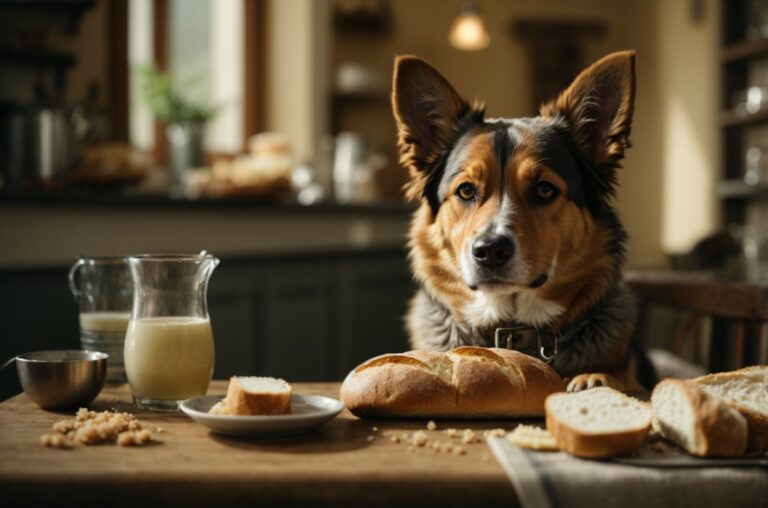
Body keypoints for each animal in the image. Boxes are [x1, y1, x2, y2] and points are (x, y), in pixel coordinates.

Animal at [392, 51, 656, 390]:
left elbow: (619, 375)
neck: (512, 328)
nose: (490, 251)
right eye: (466, 190)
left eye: (544, 189)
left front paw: (594, 376)